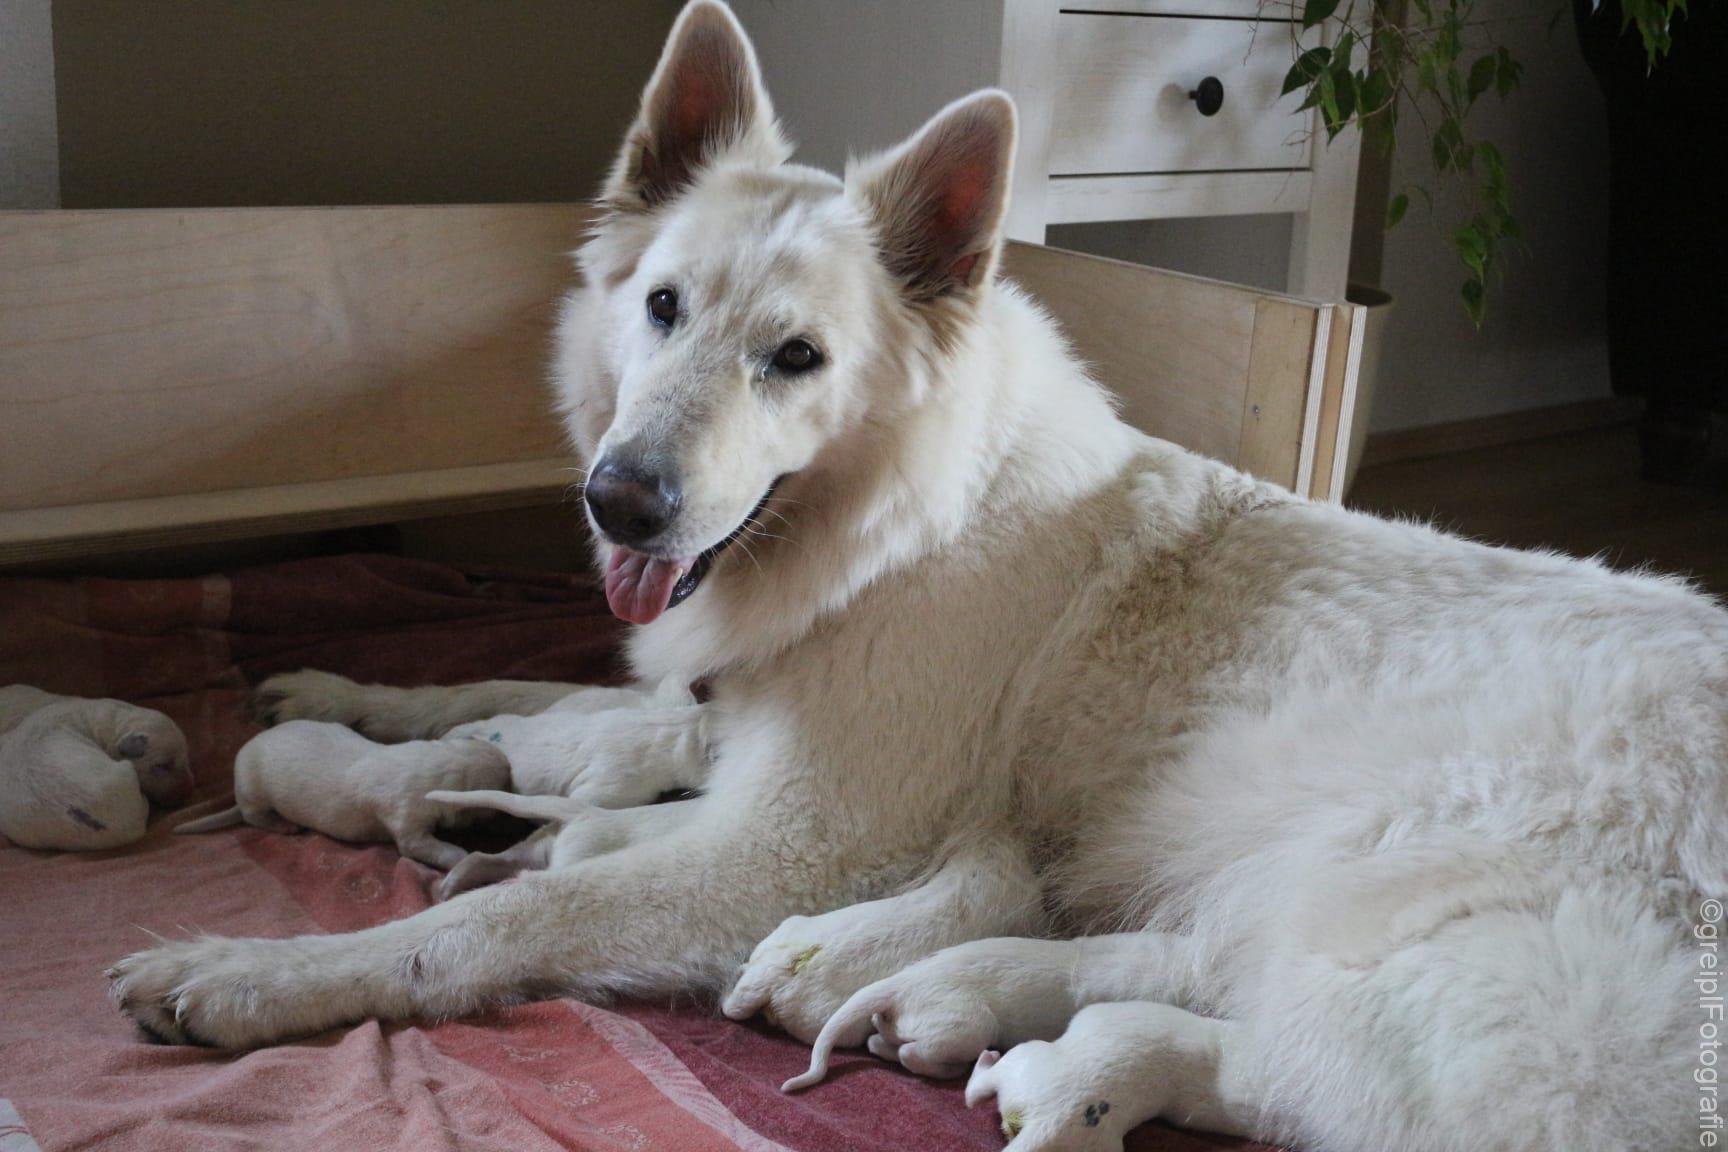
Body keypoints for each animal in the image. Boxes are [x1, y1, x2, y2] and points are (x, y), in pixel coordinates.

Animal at [108, 4, 1714, 1146]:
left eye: (797, 358)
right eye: (661, 306)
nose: (620, 501)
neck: (902, 527)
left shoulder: (782, 852)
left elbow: (485, 923)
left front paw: (251, 974)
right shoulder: (711, 702)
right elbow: (518, 684)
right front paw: (351, 692)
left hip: (1402, 974)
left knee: (1286, 1072)